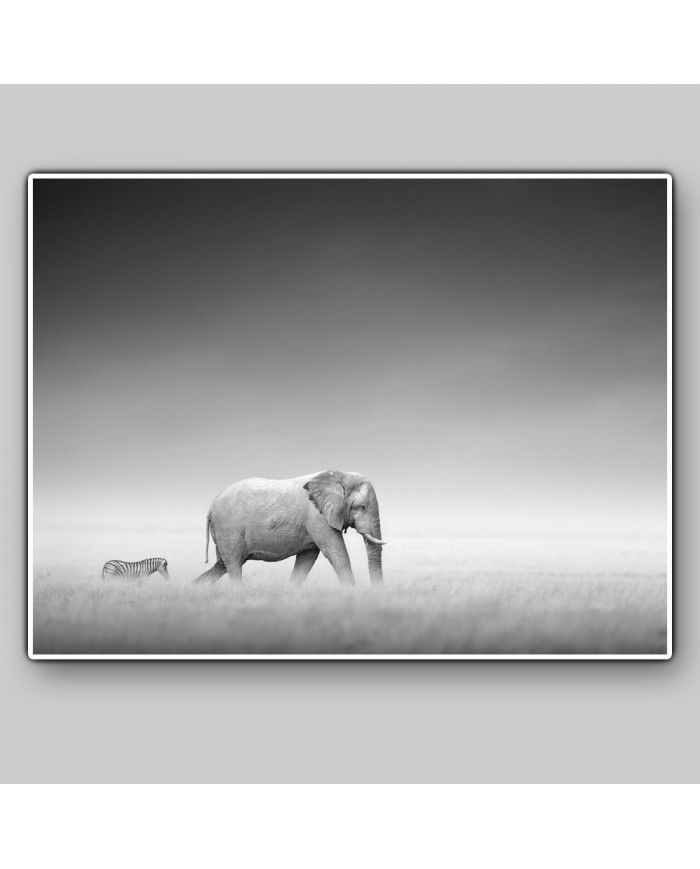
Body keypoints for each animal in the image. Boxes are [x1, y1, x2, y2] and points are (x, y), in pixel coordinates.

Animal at [193, 470, 386, 586]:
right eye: (360, 507)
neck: (339, 475)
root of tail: (212, 504)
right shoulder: (317, 517)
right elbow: (336, 552)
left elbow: (307, 558)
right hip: (229, 528)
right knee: (233, 564)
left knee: (222, 564)